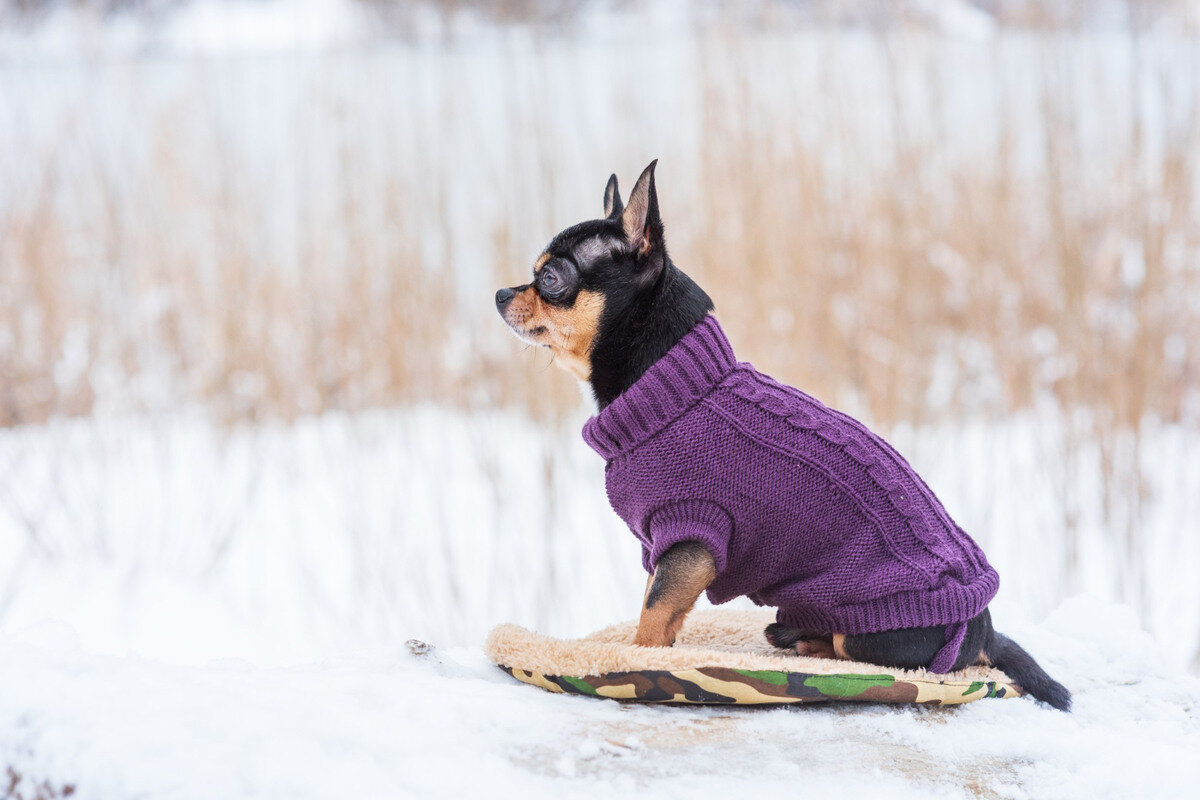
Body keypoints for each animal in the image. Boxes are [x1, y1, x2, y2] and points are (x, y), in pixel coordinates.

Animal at [492, 159, 1075, 710]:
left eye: (551, 280)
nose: (500, 292)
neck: (675, 386)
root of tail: (985, 631)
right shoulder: (670, 551)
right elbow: (658, 607)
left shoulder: (691, 540)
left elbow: (653, 615)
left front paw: (636, 660)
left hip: (869, 629)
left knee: (859, 656)